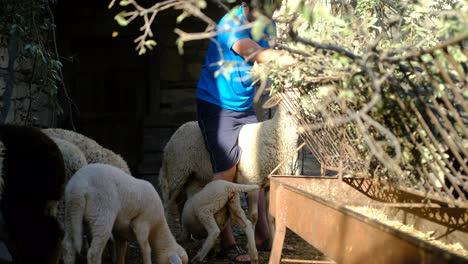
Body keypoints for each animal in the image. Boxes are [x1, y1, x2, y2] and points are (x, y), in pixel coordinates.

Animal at [157, 92, 296, 226]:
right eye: (284, 97)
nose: (292, 111)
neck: (276, 134)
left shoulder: (270, 184)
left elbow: (272, 218)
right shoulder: (252, 181)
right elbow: (254, 217)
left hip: (194, 176)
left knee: (183, 202)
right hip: (177, 173)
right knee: (167, 204)